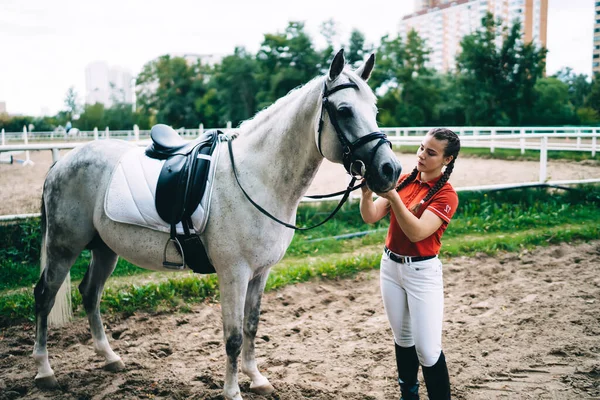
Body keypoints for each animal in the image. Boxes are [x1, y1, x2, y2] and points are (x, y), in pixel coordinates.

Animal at [35, 50, 406, 400]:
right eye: (344, 110)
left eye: (374, 109)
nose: (390, 170)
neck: (257, 177)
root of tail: (62, 162)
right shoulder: (234, 273)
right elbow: (233, 336)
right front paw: (233, 391)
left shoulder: (260, 273)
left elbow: (252, 326)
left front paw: (257, 379)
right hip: (64, 247)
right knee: (45, 295)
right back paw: (44, 372)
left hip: (104, 249)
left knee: (90, 293)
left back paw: (109, 358)